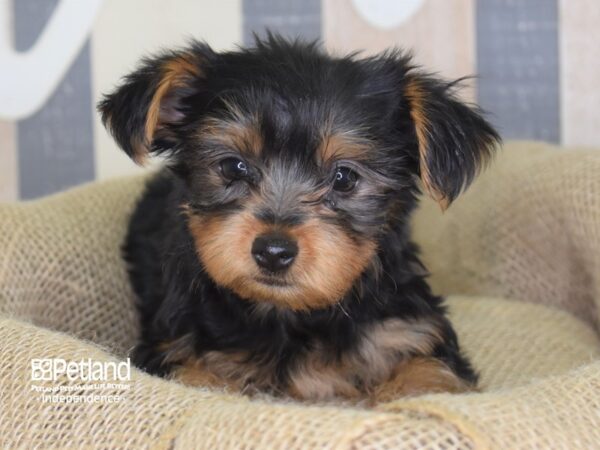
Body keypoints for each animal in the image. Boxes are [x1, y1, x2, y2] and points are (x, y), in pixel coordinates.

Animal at [101, 33, 500, 402]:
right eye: (233, 167)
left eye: (344, 177)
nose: (273, 251)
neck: (293, 314)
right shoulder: (176, 346)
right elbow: (199, 380)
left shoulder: (408, 330)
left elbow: (429, 376)